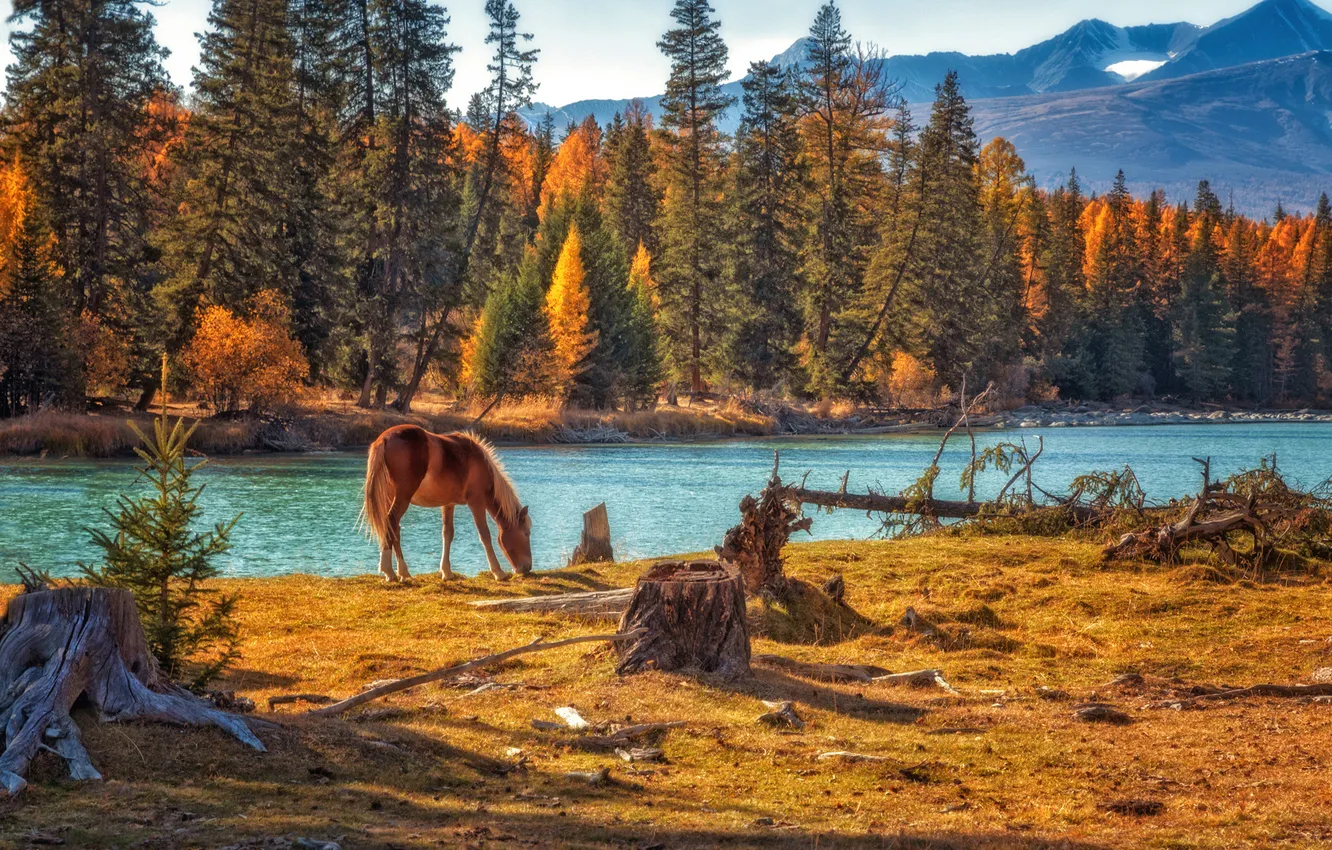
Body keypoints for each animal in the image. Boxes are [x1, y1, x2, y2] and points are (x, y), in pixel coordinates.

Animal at [362, 425, 532, 582]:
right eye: (526, 533)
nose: (528, 568)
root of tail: (383, 439)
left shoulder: (448, 504)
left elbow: (447, 534)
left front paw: (447, 572)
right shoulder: (476, 503)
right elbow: (485, 535)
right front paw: (498, 572)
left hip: (392, 498)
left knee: (394, 528)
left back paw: (403, 573)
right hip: (402, 497)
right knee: (391, 522)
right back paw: (389, 571)